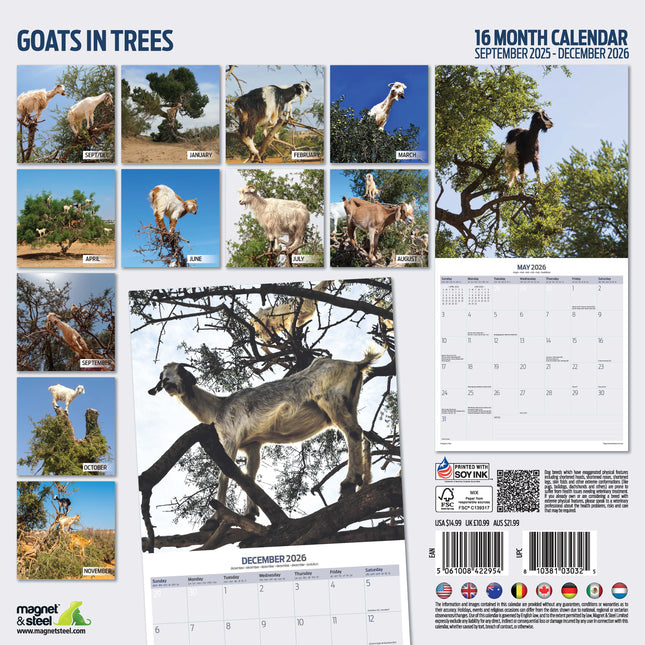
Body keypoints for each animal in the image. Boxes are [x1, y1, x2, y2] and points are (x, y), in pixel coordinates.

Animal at [148, 346, 383, 518]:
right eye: (162, 375)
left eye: (180, 372)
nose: (168, 383)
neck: (218, 408)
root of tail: (356, 365)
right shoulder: (252, 445)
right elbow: (250, 477)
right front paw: (250, 514)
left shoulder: (230, 439)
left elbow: (224, 475)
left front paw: (215, 518)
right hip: (350, 404)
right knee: (363, 434)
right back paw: (363, 482)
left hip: (331, 399)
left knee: (353, 433)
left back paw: (350, 481)